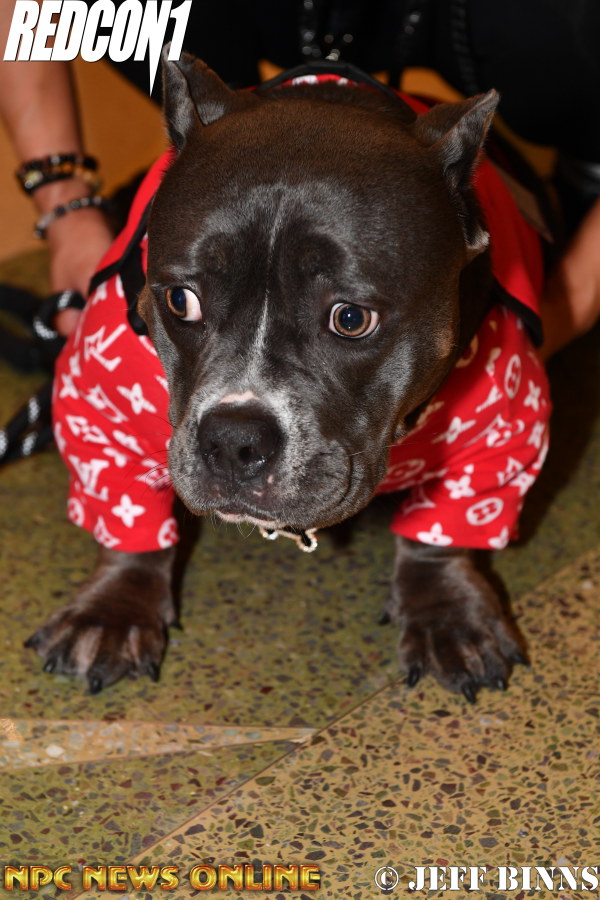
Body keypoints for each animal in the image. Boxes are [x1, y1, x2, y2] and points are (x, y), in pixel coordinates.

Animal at [26, 52, 550, 701]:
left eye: (350, 318)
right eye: (180, 300)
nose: (232, 441)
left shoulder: (505, 422)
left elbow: (448, 523)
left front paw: (448, 613)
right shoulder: (99, 402)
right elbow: (126, 513)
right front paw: (113, 609)